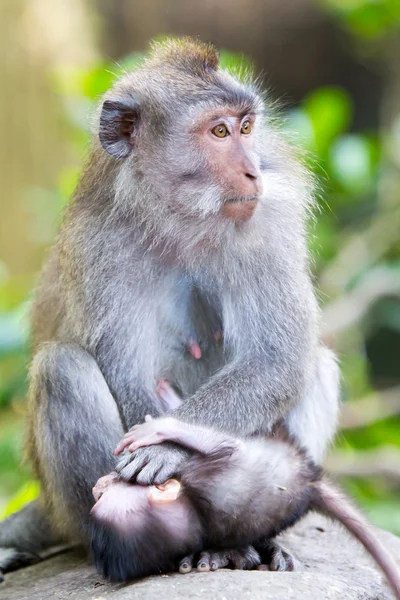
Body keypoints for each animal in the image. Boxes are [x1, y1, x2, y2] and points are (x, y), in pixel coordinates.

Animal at [0, 36, 340, 576]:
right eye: (218, 131)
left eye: (246, 127)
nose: (254, 170)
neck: (182, 219)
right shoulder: (100, 243)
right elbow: (125, 372)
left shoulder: (265, 226)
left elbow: (278, 360)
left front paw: (166, 447)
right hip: (69, 508)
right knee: (61, 368)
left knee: (315, 365)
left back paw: (246, 537)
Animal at [90, 412, 400, 596]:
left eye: (106, 494)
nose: (95, 489)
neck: (195, 510)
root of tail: (310, 483)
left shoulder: (215, 476)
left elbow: (227, 445)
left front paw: (159, 428)